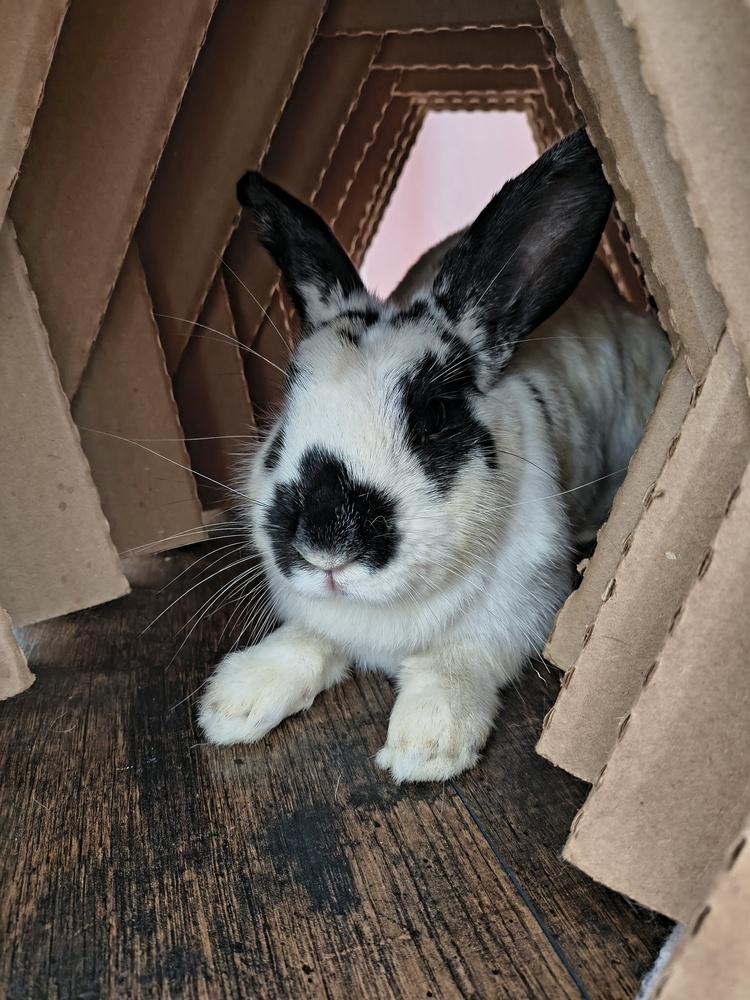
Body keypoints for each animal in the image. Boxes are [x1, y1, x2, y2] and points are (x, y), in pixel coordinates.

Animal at [197, 128, 671, 782]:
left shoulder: (523, 609)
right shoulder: (316, 617)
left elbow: (454, 660)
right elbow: (307, 640)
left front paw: (425, 748)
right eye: (285, 410)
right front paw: (232, 703)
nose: (324, 547)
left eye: (437, 416)